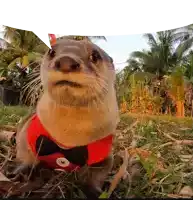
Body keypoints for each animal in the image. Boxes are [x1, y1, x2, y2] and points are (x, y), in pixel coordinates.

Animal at [15, 37, 120, 197]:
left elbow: (98, 175)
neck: (67, 136)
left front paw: (95, 191)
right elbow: (24, 153)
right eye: (52, 52)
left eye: (95, 56)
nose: (66, 61)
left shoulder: (104, 154)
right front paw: (21, 171)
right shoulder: (28, 132)